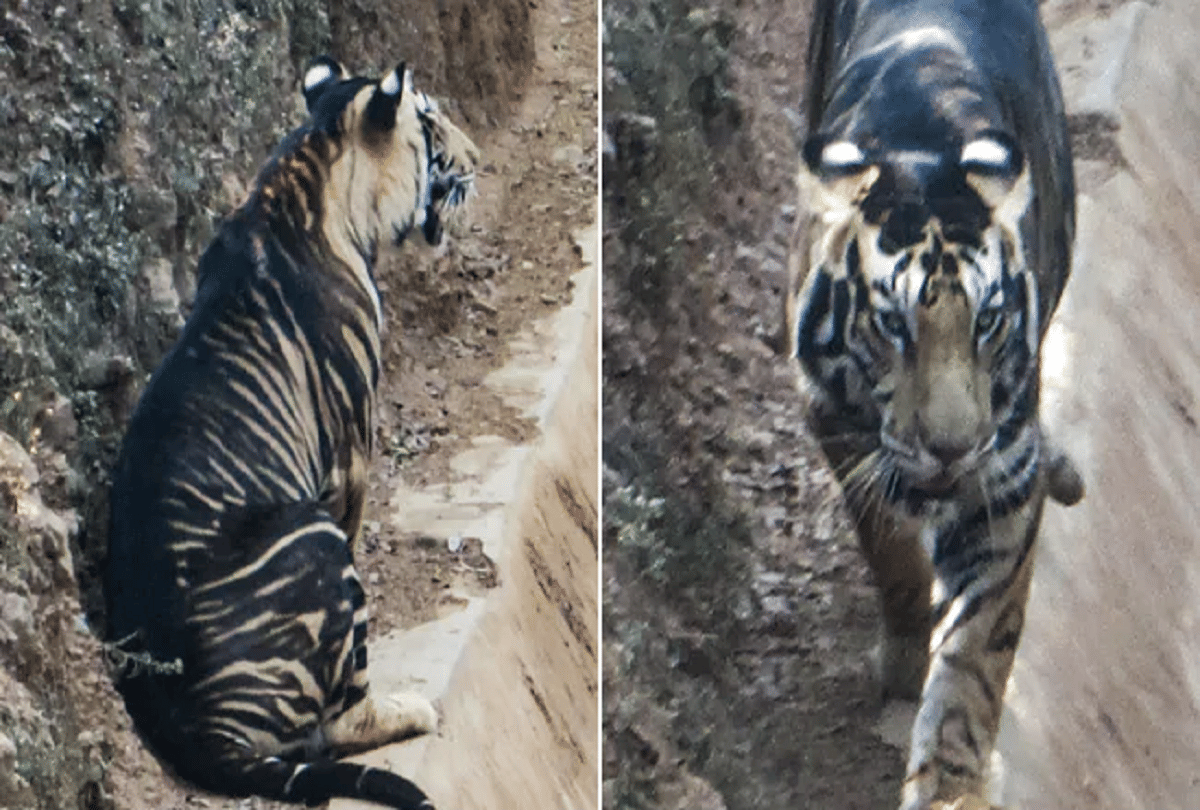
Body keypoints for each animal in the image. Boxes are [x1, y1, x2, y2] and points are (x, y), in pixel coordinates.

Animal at [103, 55, 478, 809]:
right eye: (433, 121)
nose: (477, 161)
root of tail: (196, 731)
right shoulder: (353, 449)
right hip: (310, 535)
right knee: (340, 721)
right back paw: (412, 708)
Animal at [784, 1, 1081, 807]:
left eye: (988, 321)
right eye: (893, 326)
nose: (951, 448)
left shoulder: (1001, 478)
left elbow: (976, 655)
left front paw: (952, 785)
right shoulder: (834, 419)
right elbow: (888, 546)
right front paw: (904, 658)